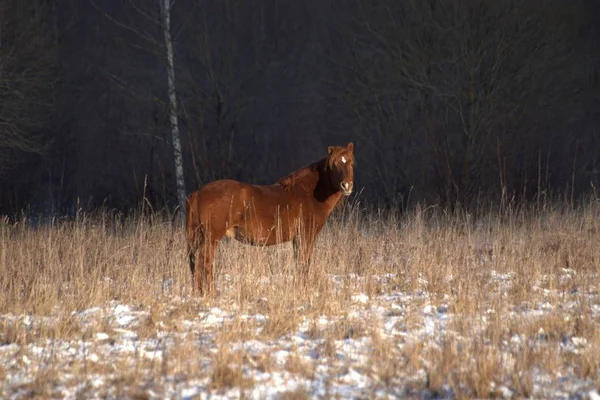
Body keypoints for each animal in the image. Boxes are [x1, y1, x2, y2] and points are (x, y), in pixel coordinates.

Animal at [185, 142, 354, 296]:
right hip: (211, 237)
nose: (346, 186)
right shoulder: (306, 236)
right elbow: (304, 264)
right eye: (334, 164)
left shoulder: (297, 239)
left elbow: (299, 264)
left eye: (351, 162)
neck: (308, 194)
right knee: (205, 261)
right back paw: (209, 293)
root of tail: (198, 193)